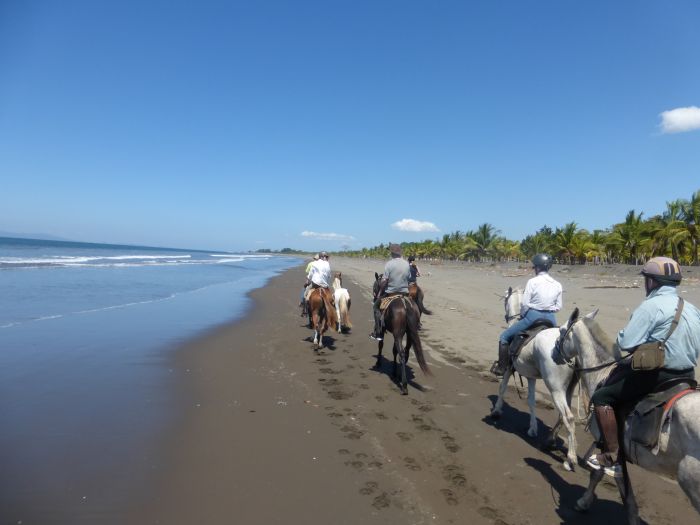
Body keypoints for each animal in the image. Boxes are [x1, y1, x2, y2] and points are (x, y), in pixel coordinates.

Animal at [486, 286, 580, 470]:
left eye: (505, 300)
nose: (506, 316)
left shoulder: (508, 368)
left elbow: (502, 388)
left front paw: (496, 411)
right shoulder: (531, 377)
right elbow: (531, 400)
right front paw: (533, 429)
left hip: (555, 388)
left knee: (568, 417)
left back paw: (571, 458)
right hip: (568, 389)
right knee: (562, 416)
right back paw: (550, 441)